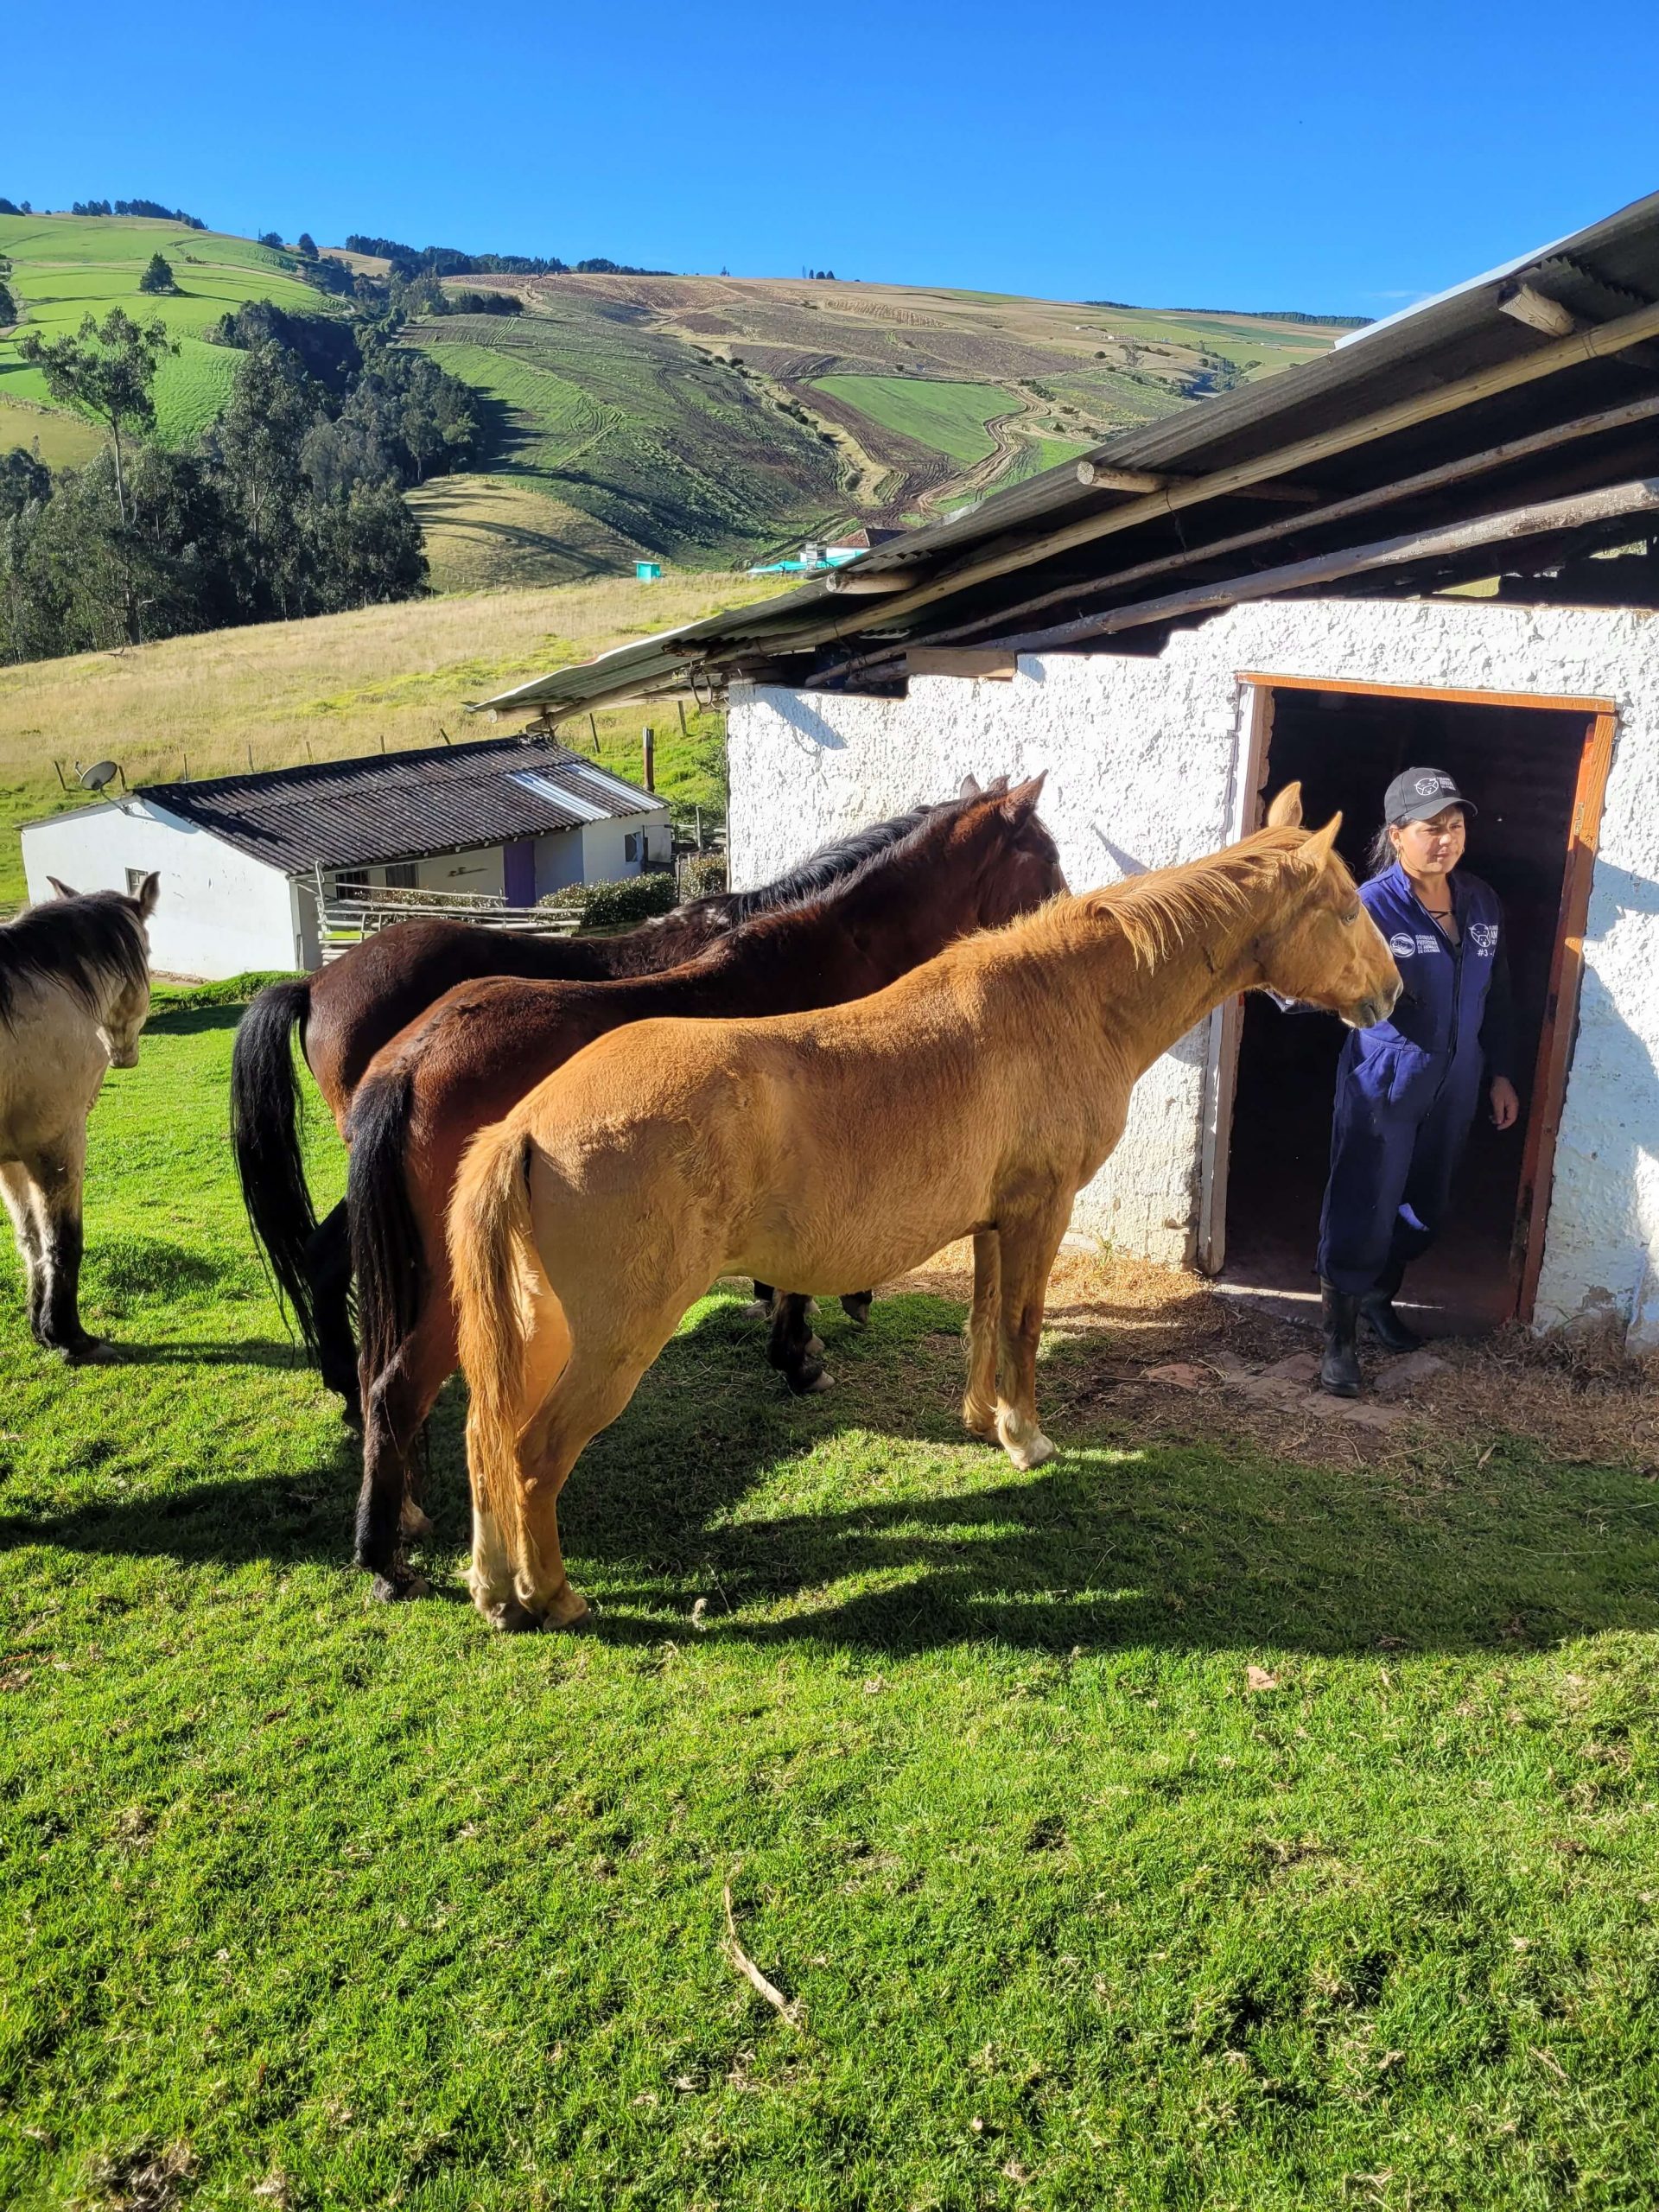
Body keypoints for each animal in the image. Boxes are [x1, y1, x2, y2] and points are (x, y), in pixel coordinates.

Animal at [352, 787, 1071, 1601]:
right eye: (1043, 858)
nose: (1068, 919)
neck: (834, 953)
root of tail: (411, 1060)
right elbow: (796, 1286)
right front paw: (799, 1356)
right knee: (393, 1389)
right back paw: (385, 1559)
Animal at [448, 787, 1397, 1637]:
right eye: (1346, 905)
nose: (1392, 994)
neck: (1066, 1000)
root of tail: (527, 1125)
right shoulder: (1041, 1212)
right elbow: (1022, 1322)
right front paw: (1027, 1438)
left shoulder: (993, 1221)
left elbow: (983, 1318)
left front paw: (983, 1420)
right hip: (613, 1339)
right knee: (532, 1455)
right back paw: (554, 1596)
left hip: (541, 1328)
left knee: (485, 1435)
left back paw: (495, 1591)